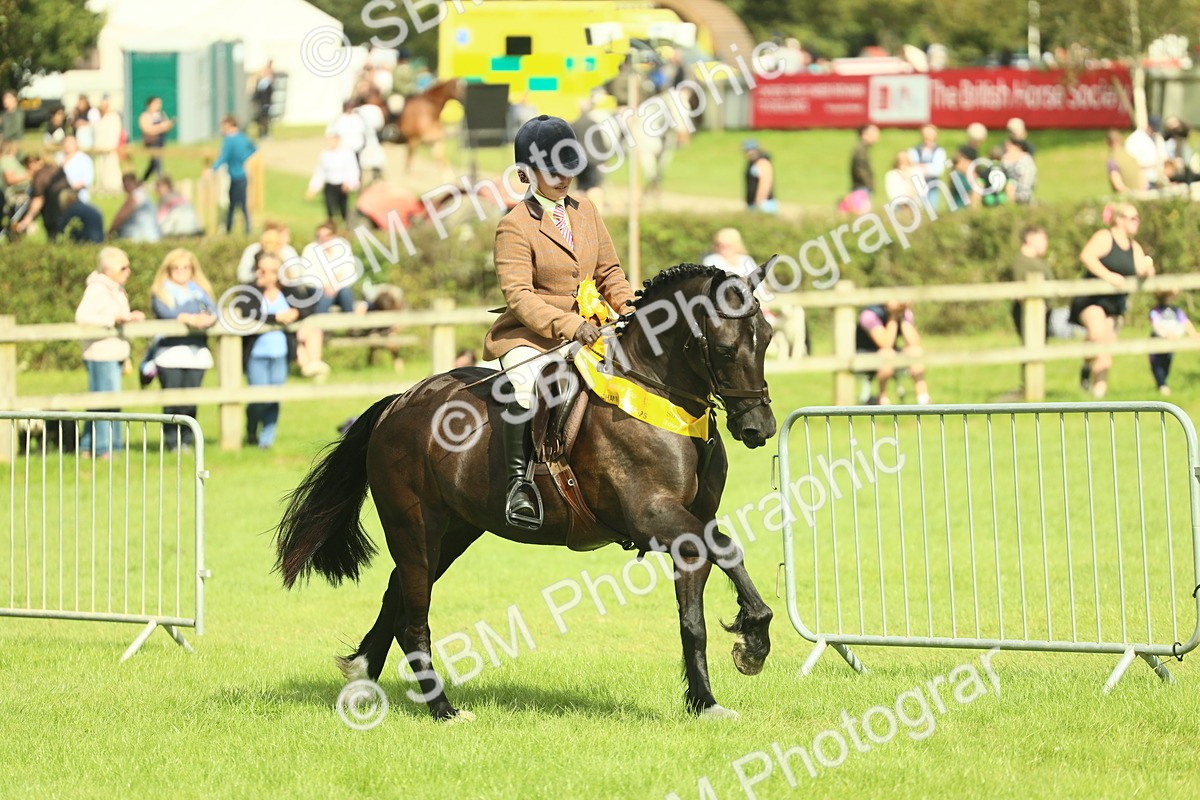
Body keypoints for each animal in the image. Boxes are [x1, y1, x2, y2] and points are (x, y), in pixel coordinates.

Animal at [274, 260, 779, 722]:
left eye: (768, 337)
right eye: (726, 349)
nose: (759, 428)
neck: (657, 395)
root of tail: (398, 404)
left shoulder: (691, 527)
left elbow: (693, 620)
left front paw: (706, 702)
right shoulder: (652, 515)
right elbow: (728, 549)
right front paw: (753, 642)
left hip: (452, 533)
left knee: (396, 594)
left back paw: (361, 682)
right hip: (414, 528)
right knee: (412, 618)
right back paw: (442, 709)